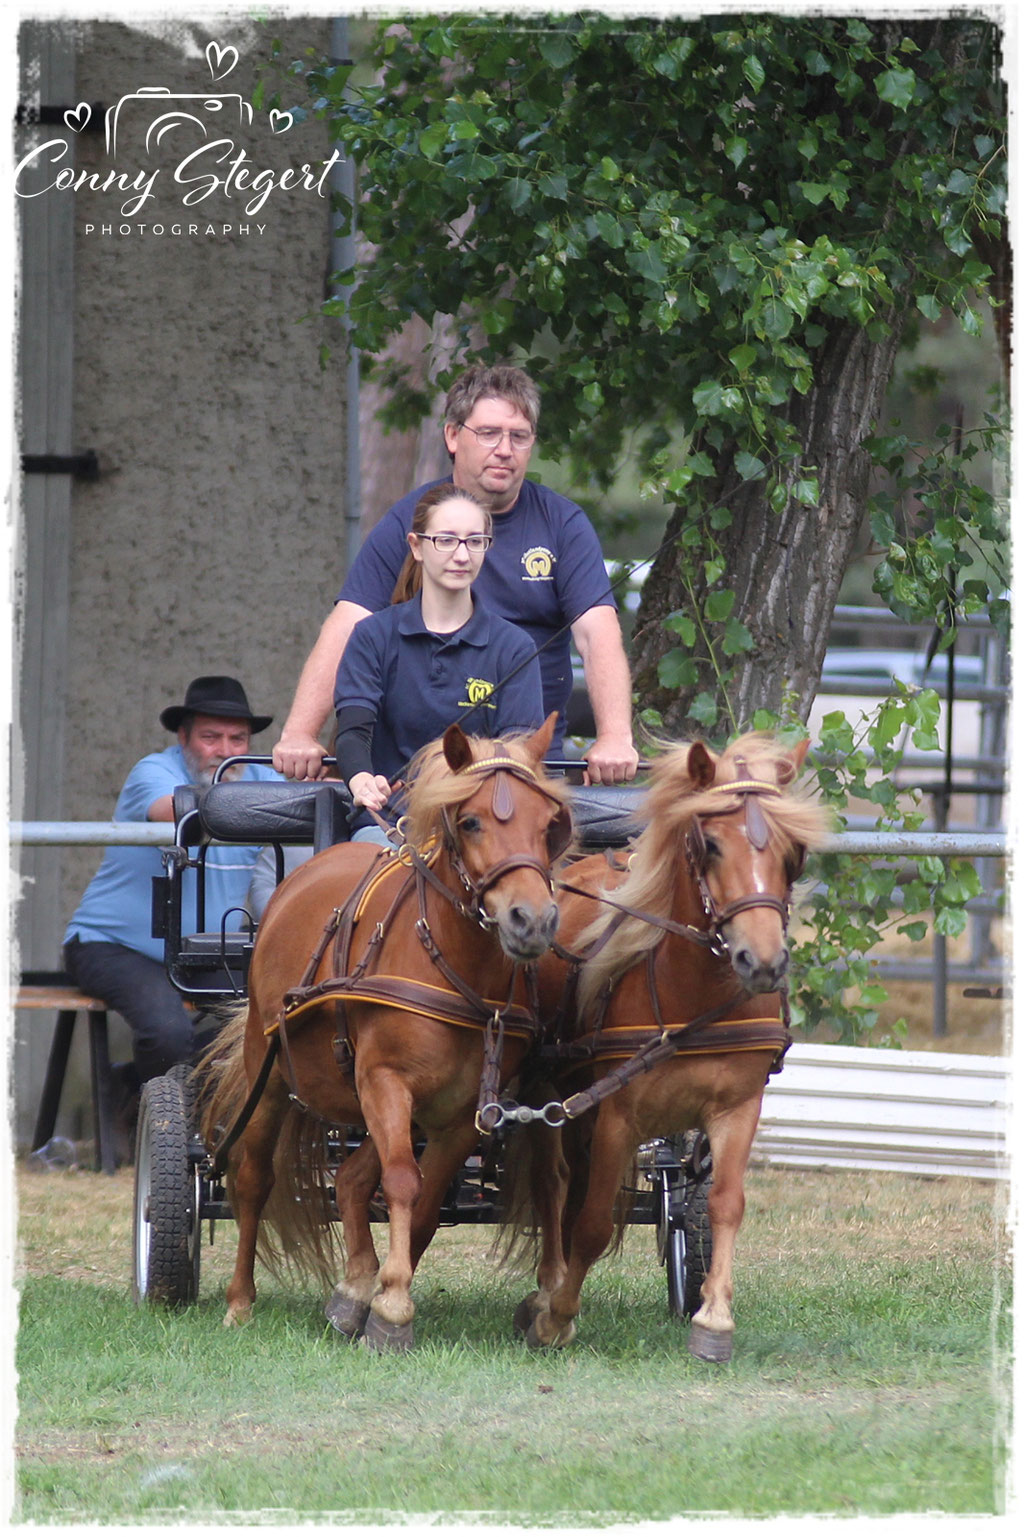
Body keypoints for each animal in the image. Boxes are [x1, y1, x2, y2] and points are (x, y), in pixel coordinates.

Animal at [198, 713, 565, 1352]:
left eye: (549, 826)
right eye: (470, 821)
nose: (533, 920)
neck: (450, 963)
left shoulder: (461, 1111)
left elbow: (425, 1197)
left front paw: (376, 1296)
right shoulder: (386, 1080)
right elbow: (401, 1182)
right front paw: (392, 1307)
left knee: (348, 1177)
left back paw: (352, 1289)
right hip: (271, 1074)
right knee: (252, 1180)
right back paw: (240, 1301)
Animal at [507, 731, 824, 1358]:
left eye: (793, 851)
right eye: (710, 843)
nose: (762, 961)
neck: (691, 997)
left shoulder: (737, 1108)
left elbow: (725, 1205)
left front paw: (713, 1319)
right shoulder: (617, 1116)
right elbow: (591, 1222)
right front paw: (558, 1316)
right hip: (554, 1094)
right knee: (556, 1187)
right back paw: (548, 1290)